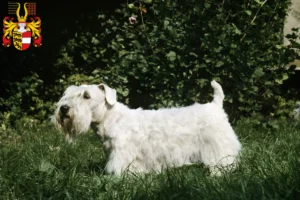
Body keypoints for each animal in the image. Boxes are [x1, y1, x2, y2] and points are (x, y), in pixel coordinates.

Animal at [52, 80, 241, 174]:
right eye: (67, 94)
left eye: (86, 96)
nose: (64, 109)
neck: (111, 118)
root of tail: (215, 105)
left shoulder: (121, 154)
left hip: (219, 147)